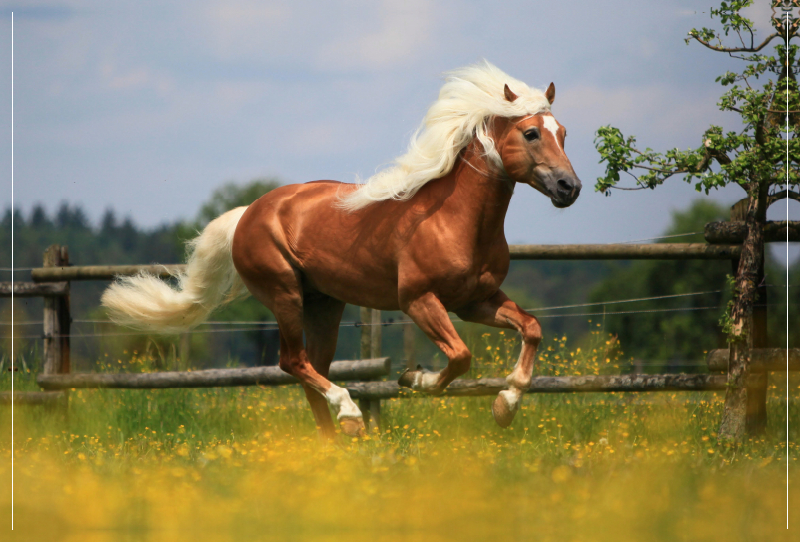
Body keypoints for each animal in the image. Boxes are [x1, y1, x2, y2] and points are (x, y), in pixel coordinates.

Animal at [104, 60, 580, 442]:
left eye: (563, 133)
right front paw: (414, 379)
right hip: (284, 293)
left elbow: (532, 328)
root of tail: (247, 213)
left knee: (310, 369)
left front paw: (504, 406)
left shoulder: (475, 301)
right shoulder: (419, 300)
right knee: (293, 362)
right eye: (531, 133)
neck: (456, 221)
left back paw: (334, 444)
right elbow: (461, 356)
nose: (569, 187)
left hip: (324, 305)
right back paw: (349, 415)